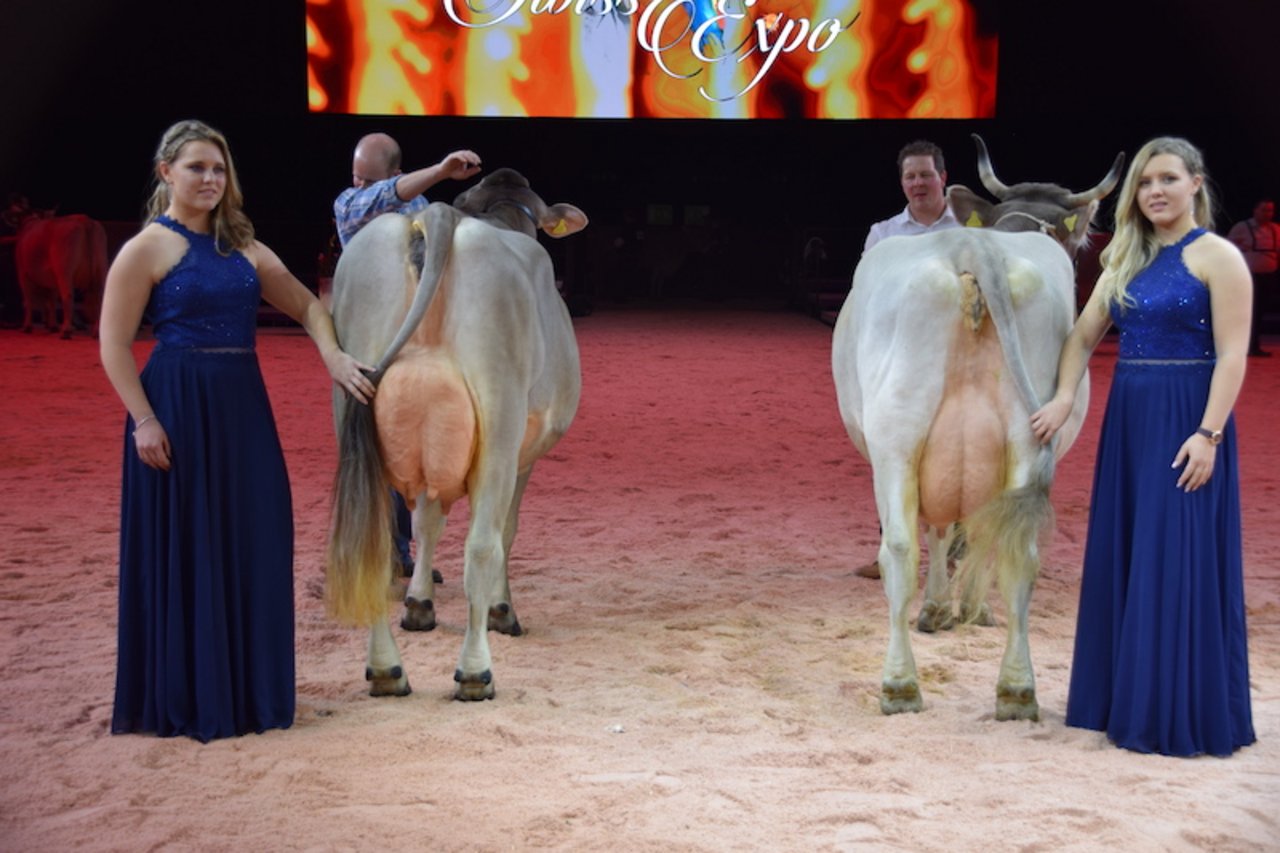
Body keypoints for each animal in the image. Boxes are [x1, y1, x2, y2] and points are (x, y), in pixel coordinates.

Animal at [330, 166, 588, 696]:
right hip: (499, 414)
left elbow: (426, 523)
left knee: (374, 543)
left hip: (350, 401)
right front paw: (502, 611)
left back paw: (387, 669)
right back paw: (475, 671)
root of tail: (438, 216)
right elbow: (507, 530)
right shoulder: (524, 455)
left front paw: (419, 605)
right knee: (483, 542)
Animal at [829, 137, 1121, 717]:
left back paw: (901, 683)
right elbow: (964, 531)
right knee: (1017, 549)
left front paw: (949, 607)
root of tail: (974, 249)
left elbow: (948, 531)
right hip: (1022, 437)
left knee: (901, 548)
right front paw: (960, 607)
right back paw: (1016, 689)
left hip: (898, 436)